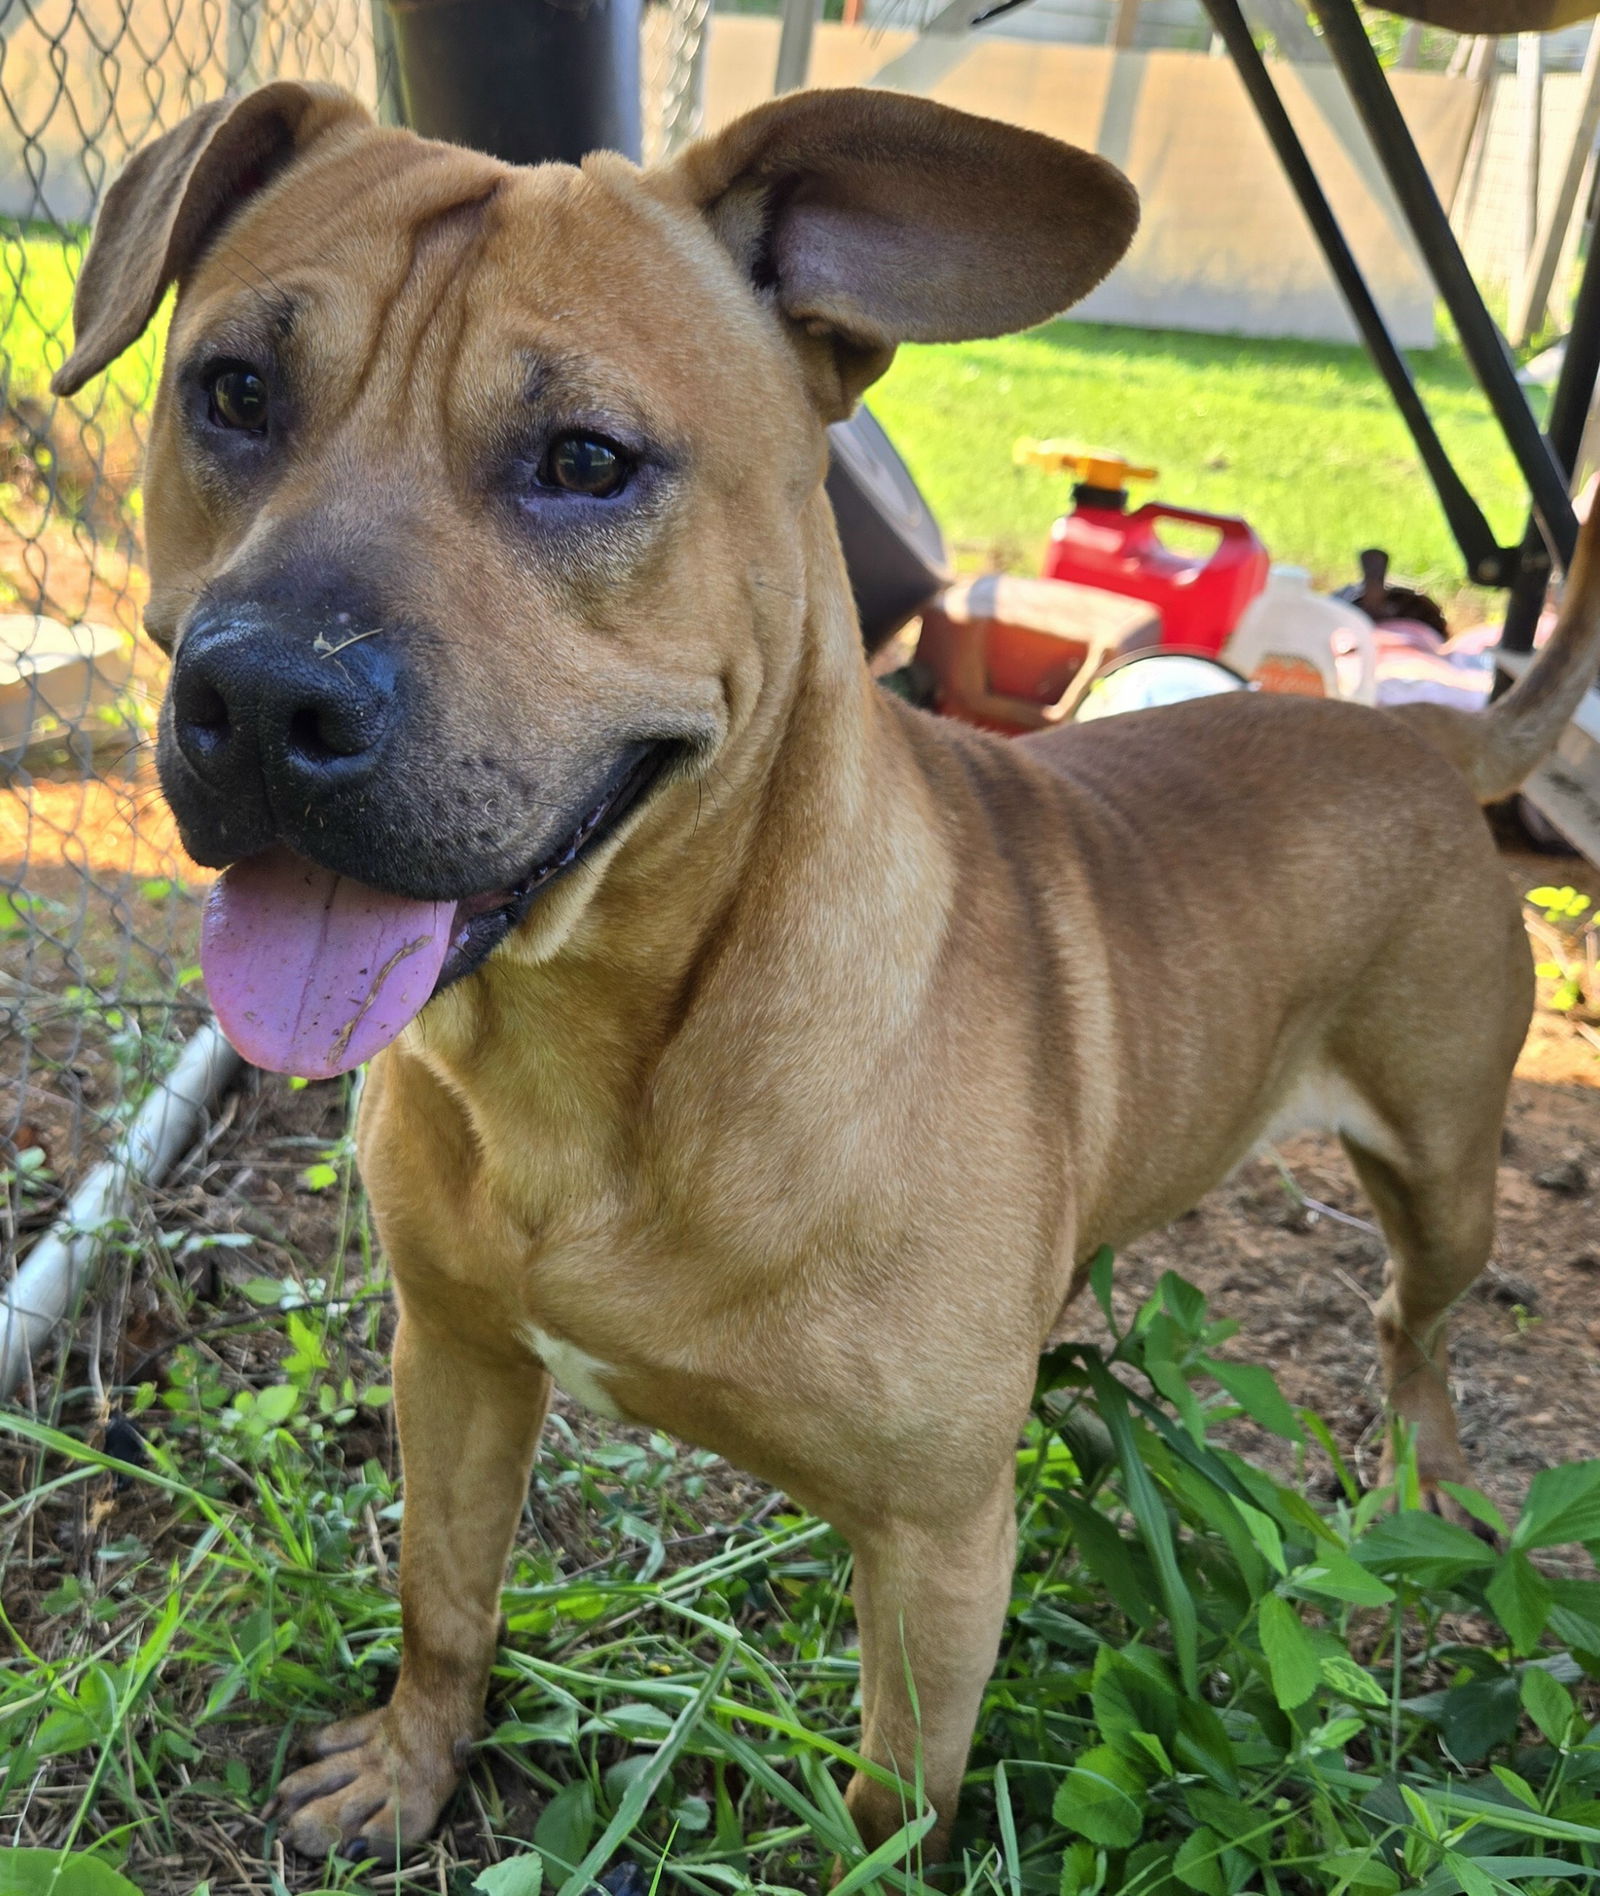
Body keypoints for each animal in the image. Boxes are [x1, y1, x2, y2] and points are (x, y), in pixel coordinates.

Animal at [56, 85, 1600, 1865]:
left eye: (585, 461)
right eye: (234, 391)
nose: (261, 699)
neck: (598, 1059)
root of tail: (1421, 736)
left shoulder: (938, 1545)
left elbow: (889, 1805)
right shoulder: (453, 1364)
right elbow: (445, 1600)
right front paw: (409, 1765)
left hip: (1447, 1176)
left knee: (1416, 1327)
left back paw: (1432, 1487)